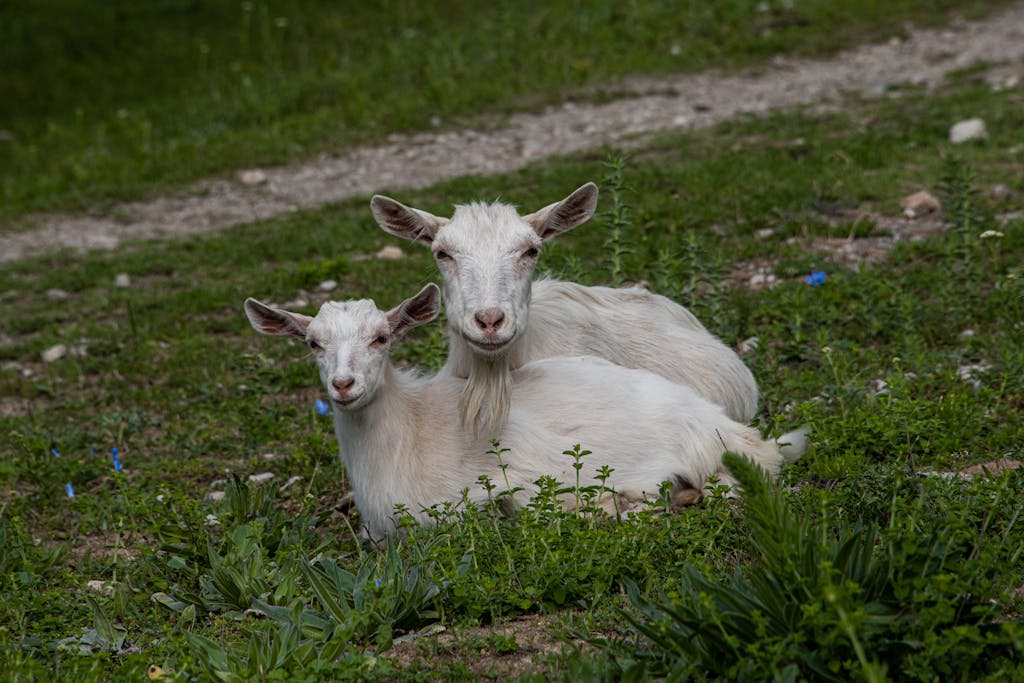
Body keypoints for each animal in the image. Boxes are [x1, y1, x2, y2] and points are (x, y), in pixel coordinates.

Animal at [244, 284, 802, 541]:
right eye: (313, 343)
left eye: (382, 338)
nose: (344, 385)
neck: (410, 429)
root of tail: (720, 423)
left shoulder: (518, 461)